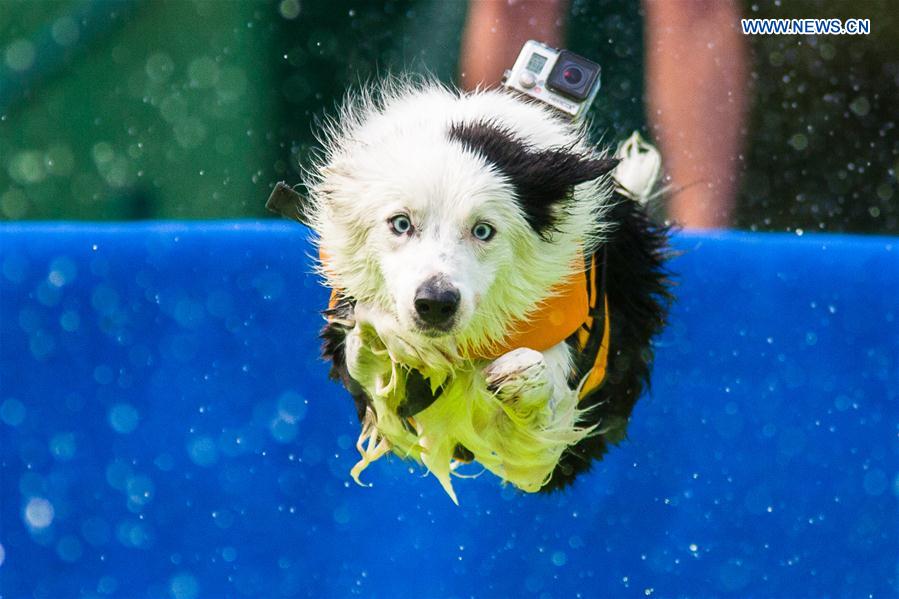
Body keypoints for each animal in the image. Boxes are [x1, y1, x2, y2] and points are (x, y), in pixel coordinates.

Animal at [274, 77, 676, 504]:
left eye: (483, 230)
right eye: (400, 223)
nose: (435, 303)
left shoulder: (553, 434)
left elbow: (538, 428)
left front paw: (523, 375)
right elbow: (365, 347)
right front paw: (397, 338)